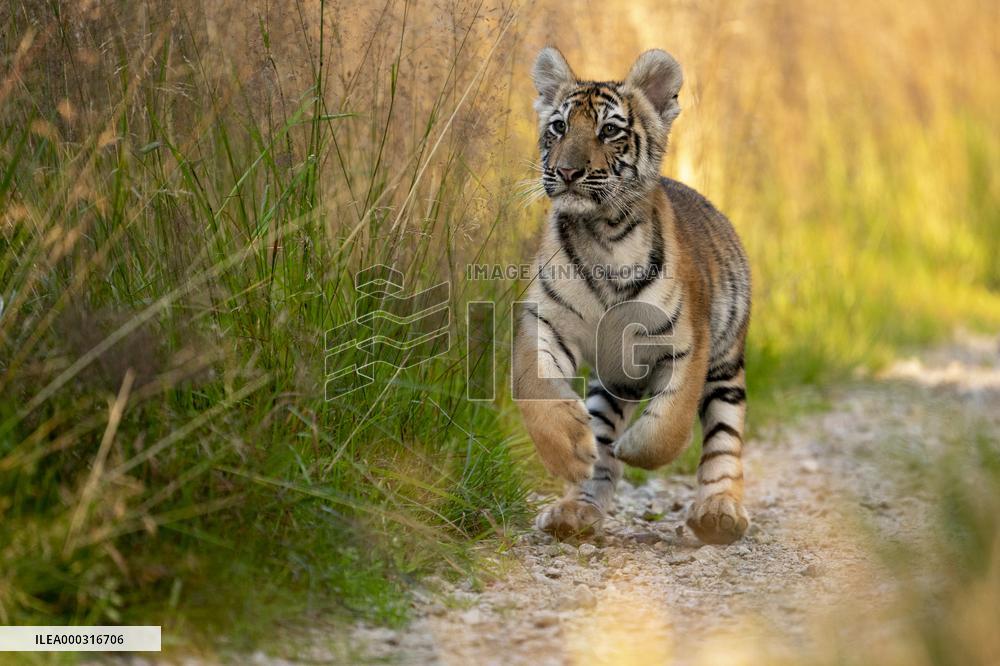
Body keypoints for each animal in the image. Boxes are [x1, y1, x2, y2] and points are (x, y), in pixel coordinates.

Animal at [513, 47, 751, 545]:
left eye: (609, 130)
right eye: (558, 127)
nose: (567, 171)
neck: (604, 233)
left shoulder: (687, 343)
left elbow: (671, 425)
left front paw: (634, 448)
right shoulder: (545, 322)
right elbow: (535, 388)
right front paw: (569, 450)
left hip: (726, 365)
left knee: (724, 438)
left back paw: (719, 510)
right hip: (611, 380)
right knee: (601, 432)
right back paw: (576, 508)